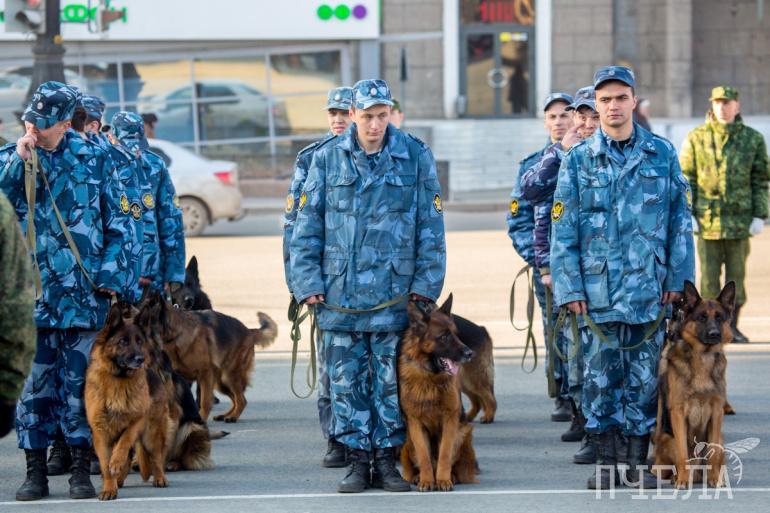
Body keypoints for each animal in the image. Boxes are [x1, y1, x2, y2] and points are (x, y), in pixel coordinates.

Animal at [85, 302, 169, 501]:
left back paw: (160, 478)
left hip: (152, 434)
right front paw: (109, 488)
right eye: (122, 341)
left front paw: (116, 463)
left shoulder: (135, 422)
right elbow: (105, 464)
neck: (119, 380)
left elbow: (124, 444)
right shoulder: (101, 434)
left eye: (139, 341)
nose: (140, 359)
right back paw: (119, 480)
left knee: (156, 457)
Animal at [143, 290, 278, 422]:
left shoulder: (205, 374)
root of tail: (249, 331)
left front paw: (200, 419)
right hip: (220, 383)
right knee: (236, 399)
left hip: (229, 377)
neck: (175, 335)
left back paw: (232, 417)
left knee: (241, 400)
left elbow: (204, 401)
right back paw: (226, 415)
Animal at [399, 294, 479, 492]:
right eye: (443, 337)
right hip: (406, 441)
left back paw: (452, 476)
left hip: (464, 433)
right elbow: (424, 456)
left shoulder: (449, 421)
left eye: (456, 334)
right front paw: (427, 480)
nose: (470, 353)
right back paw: (417, 476)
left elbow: (444, 454)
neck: (430, 378)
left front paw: (442, 480)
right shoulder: (415, 423)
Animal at [653, 280, 735, 489]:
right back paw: (677, 477)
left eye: (719, 317)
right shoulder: (678, 413)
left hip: (721, 438)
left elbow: (713, 454)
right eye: (701, 317)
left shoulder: (716, 412)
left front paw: (714, 479)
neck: (703, 357)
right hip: (666, 438)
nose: (714, 334)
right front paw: (682, 480)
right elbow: (683, 454)